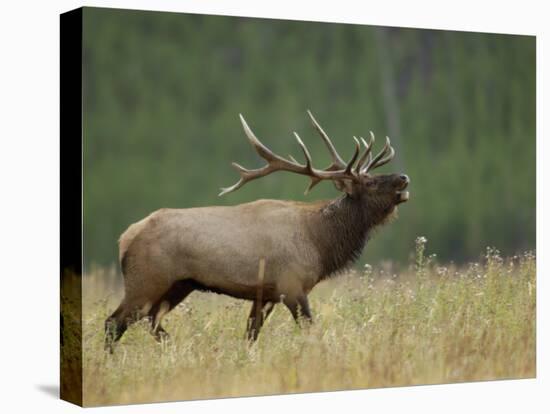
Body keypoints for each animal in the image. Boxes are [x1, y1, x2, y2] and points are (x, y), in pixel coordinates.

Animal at [106, 111, 410, 350]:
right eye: (369, 183)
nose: (403, 177)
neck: (320, 242)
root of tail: (125, 238)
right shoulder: (292, 285)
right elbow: (310, 329)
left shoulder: (266, 294)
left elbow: (251, 335)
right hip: (145, 281)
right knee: (114, 322)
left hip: (178, 285)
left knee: (151, 322)